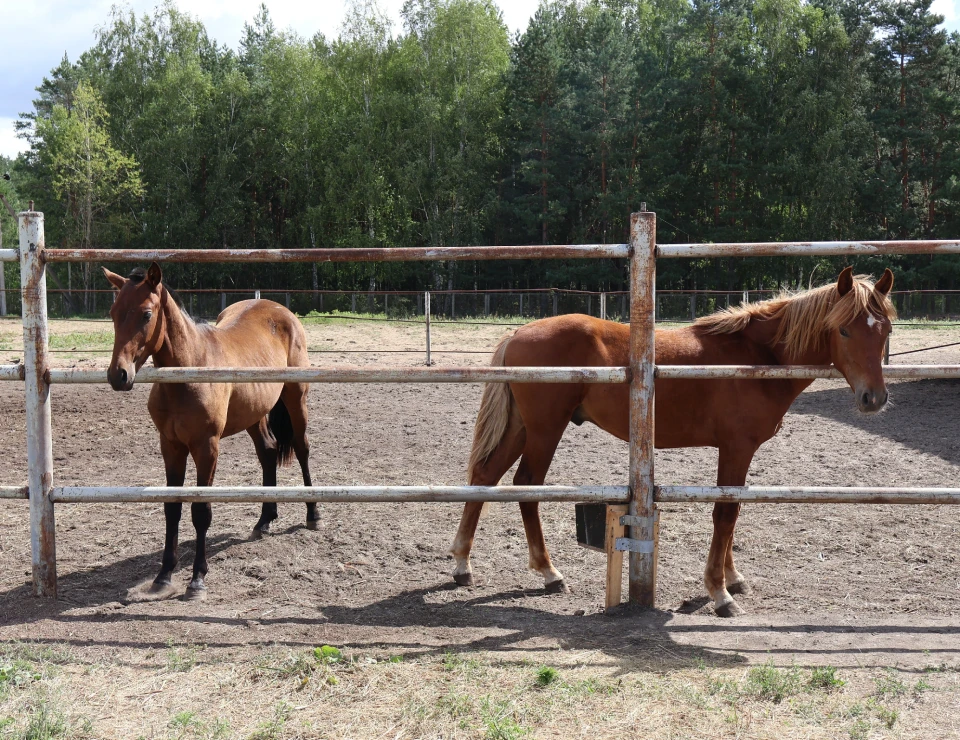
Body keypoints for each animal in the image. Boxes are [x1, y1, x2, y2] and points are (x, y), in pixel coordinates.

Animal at [103, 264, 316, 600]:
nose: (118, 375)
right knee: (268, 452)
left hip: (296, 399)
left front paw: (197, 579)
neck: (190, 370)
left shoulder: (207, 448)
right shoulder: (171, 446)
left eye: (147, 314)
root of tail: (280, 310)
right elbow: (172, 509)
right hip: (254, 414)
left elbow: (201, 512)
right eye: (113, 312)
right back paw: (264, 521)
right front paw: (163, 576)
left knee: (302, 447)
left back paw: (312, 515)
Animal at [454, 268, 896, 616]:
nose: (873, 398)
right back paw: (548, 572)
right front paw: (719, 593)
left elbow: (733, 510)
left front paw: (733, 578)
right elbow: (726, 514)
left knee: (484, 478)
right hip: (545, 430)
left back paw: (462, 564)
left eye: (886, 331)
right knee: (525, 486)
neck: (756, 355)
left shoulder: (737, 452)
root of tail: (517, 334)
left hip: (521, 427)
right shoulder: (736, 448)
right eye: (844, 329)